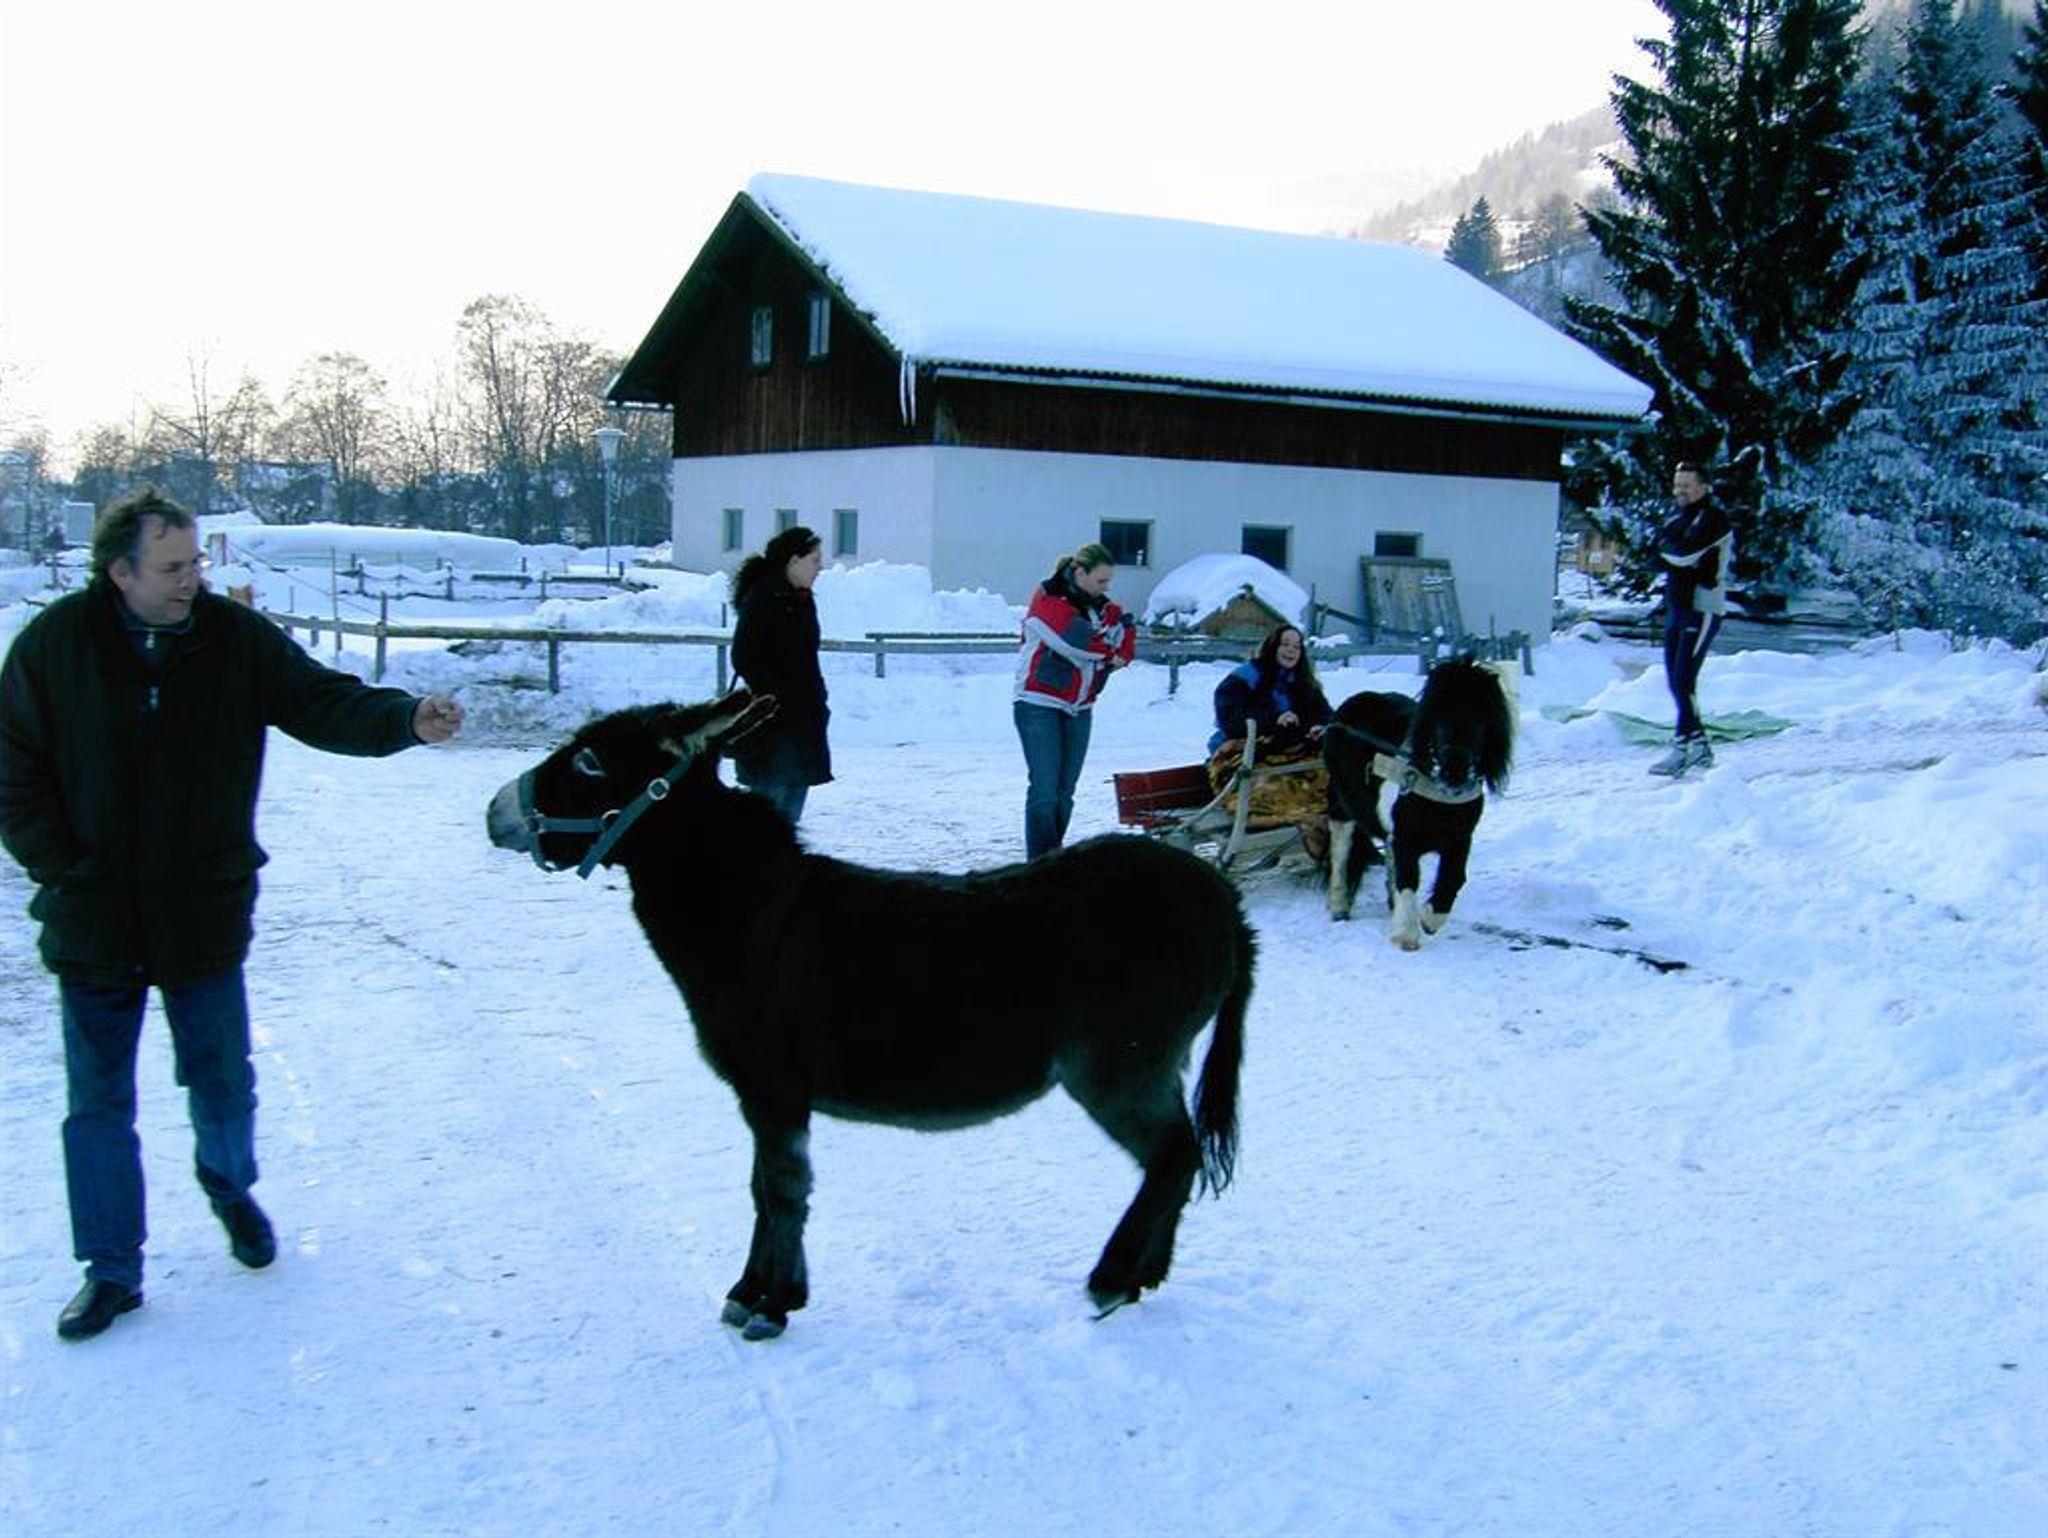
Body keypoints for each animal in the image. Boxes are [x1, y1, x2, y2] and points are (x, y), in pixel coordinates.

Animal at [485, 691, 1255, 1340]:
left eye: (588, 760)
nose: (494, 813)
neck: (750, 914)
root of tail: (1224, 899)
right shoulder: (768, 1096)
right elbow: (766, 1188)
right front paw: (757, 1293)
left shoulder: (772, 1089)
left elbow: (781, 1190)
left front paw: (769, 1303)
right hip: (1148, 1064)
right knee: (1178, 1159)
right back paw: (1143, 1277)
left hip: (1118, 1066)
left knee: (1172, 1155)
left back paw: (1112, 1279)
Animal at [1322, 656, 1515, 949]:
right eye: (1438, 719)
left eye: (1482, 722)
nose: (1454, 774)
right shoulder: (1405, 837)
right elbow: (1408, 878)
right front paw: (1405, 934)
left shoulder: (1460, 838)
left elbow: (1454, 878)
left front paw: (1430, 920)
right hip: (1341, 807)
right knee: (1341, 850)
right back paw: (1339, 905)